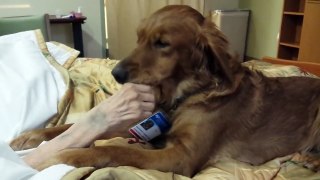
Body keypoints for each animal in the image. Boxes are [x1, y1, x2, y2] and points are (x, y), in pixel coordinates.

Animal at [8, 4, 320, 176]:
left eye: (162, 44)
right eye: (139, 38)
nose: (116, 74)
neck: (185, 96)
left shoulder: (182, 156)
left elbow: (118, 151)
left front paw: (62, 157)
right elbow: (74, 126)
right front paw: (32, 136)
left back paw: (306, 158)